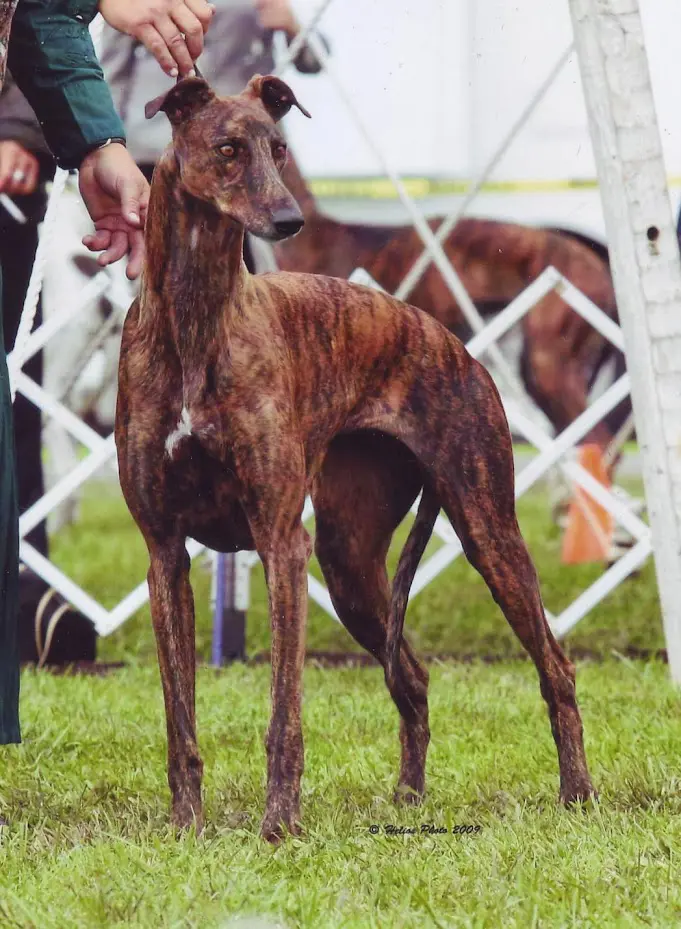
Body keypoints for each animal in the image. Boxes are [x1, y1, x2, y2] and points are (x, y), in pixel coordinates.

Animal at [117, 74, 596, 840]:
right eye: (228, 149)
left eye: (280, 148)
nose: (288, 221)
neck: (198, 317)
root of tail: (451, 342)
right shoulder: (164, 553)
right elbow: (179, 718)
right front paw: (186, 826)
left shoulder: (281, 543)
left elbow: (284, 713)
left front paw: (279, 825)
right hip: (347, 562)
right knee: (414, 675)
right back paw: (407, 799)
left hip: (486, 528)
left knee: (555, 664)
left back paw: (576, 794)